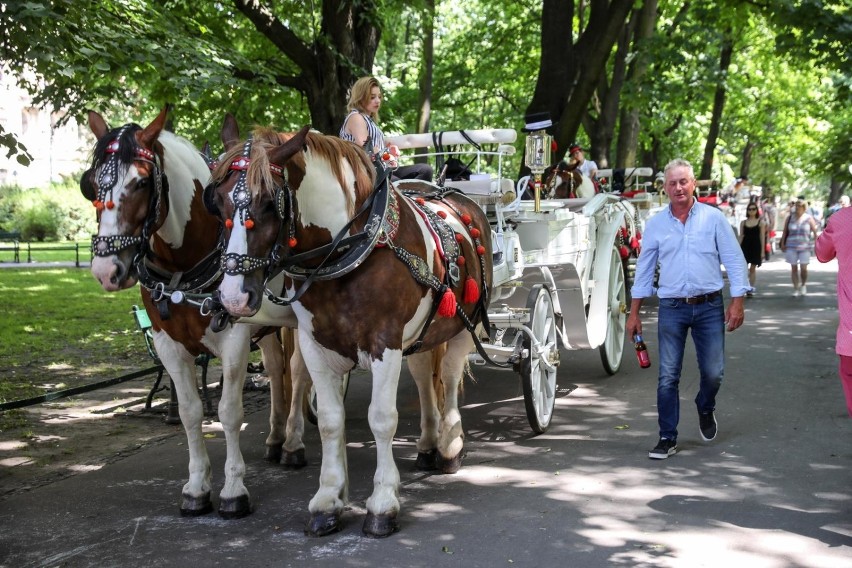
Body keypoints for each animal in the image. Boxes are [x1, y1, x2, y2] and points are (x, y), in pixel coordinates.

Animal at [80, 106, 310, 520]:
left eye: (141, 182)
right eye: (90, 185)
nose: (106, 270)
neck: (183, 265)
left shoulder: (234, 338)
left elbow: (229, 411)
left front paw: (234, 489)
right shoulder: (168, 344)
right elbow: (189, 412)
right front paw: (197, 486)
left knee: (299, 373)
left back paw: (293, 443)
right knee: (275, 369)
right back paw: (275, 436)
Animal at [207, 123, 496, 536]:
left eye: (268, 204)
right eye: (216, 201)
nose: (232, 297)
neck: (349, 249)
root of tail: (453, 194)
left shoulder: (385, 343)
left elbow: (382, 419)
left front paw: (383, 503)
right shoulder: (315, 345)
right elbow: (330, 421)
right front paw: (328, 500)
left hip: (460, 327)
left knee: (450, 378)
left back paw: (449, 447)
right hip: (422, 334)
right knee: (424, 377)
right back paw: (428, 443)